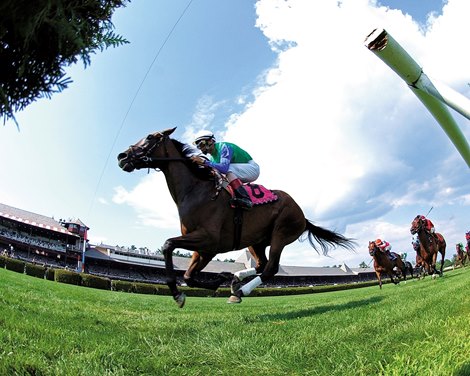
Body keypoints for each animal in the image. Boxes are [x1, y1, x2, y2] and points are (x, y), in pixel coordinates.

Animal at [118, 128, 356, 306]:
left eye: (150, 137)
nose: (122, 157)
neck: (196, 191)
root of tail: (303, 215)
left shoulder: (208, 239)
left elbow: (168, 245)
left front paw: (178, 293)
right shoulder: (205, 248)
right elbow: (188, 276)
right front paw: (219, 279)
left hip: (282, 232)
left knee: (270, 268)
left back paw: (242, 290)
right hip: (256, 241)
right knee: (261, 265)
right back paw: (235, 281)